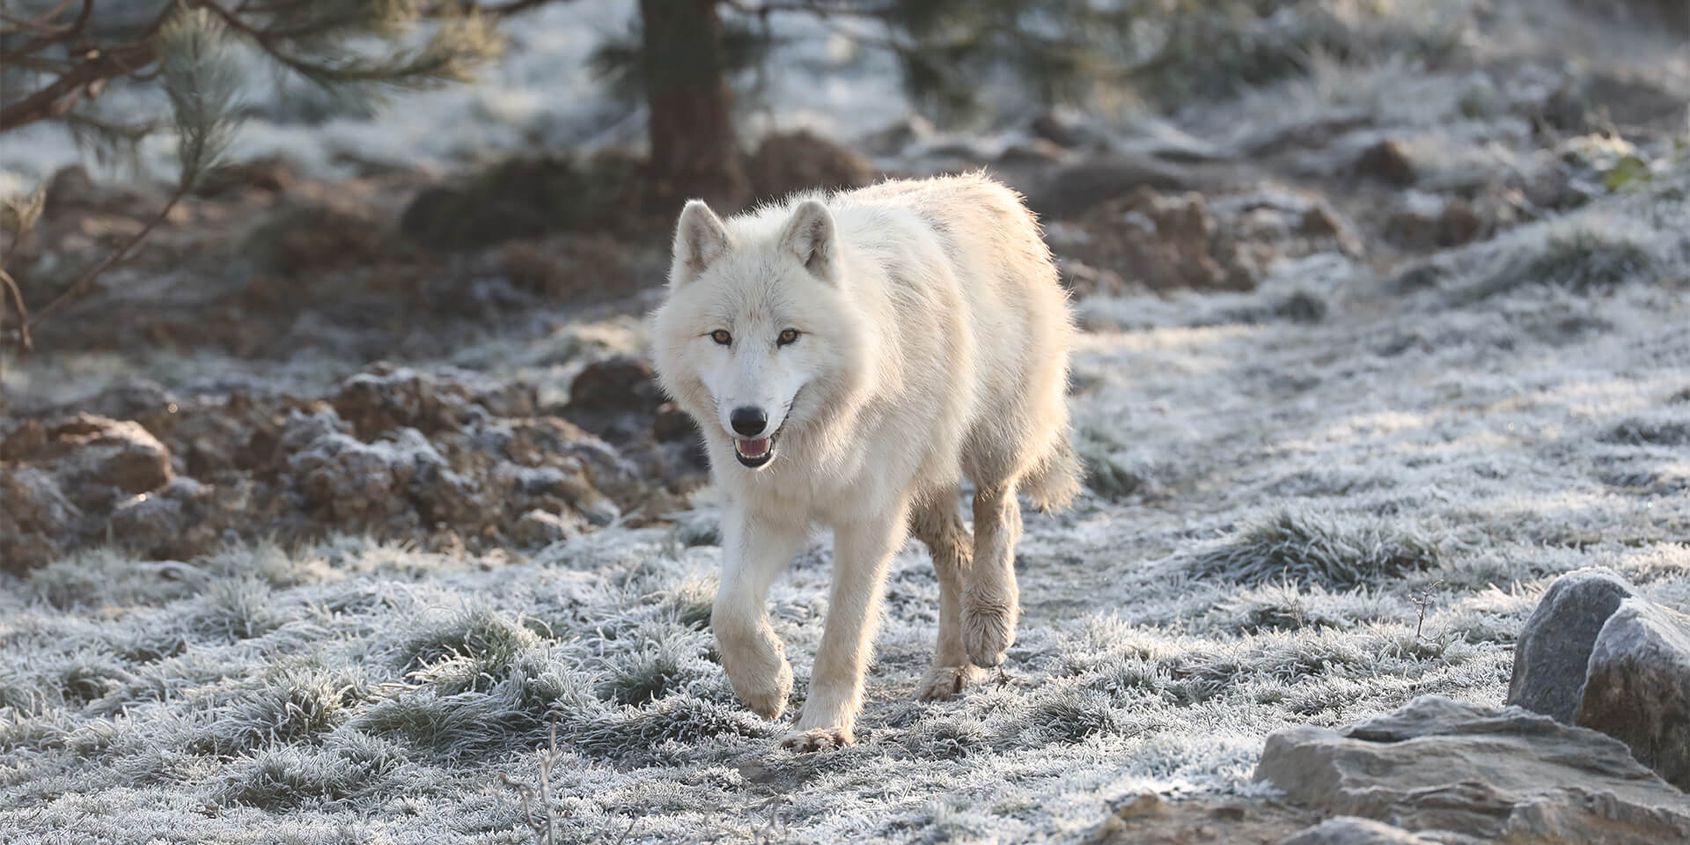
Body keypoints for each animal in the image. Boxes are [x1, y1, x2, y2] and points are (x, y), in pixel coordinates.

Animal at [650, 173, 1080, 751]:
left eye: (789, 336)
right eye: (721, 336)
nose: (748, 421)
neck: (819, 440)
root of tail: (986, 186)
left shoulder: (869, 520)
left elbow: (843, 633)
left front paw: (822, 726)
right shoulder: (767, 509)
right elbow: (730, 611)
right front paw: (767, 686)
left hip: (992, 445)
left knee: (999, 516)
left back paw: (989, 624)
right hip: (923, 497)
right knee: (957, 552)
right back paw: (952, 670)